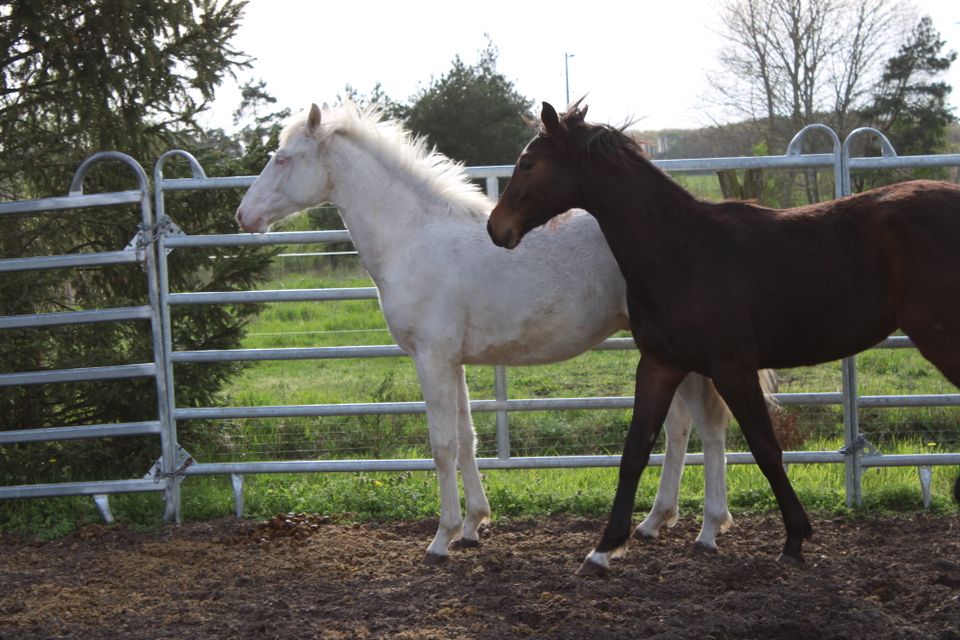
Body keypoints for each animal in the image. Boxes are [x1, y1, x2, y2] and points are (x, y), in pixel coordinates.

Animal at [234, 102, 756, 564]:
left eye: (283, 158)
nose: (243, 217)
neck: (414, 238)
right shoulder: (453, 362)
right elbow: (466, 439)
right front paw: (472, 525)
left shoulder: (432, 358)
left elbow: (442, 446)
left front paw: (441, 539)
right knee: (679, 426)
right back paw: (654, 522)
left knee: (708, 426)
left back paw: (709, 529)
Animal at [488, 102, 960, 576]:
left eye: (527, 163)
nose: (496, 228)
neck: (680, 250)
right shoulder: (660, 364)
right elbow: (634, 452)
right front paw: (605, 548)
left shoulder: (733, 368)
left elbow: (765, 448)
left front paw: (795, 538)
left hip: (941, 339)